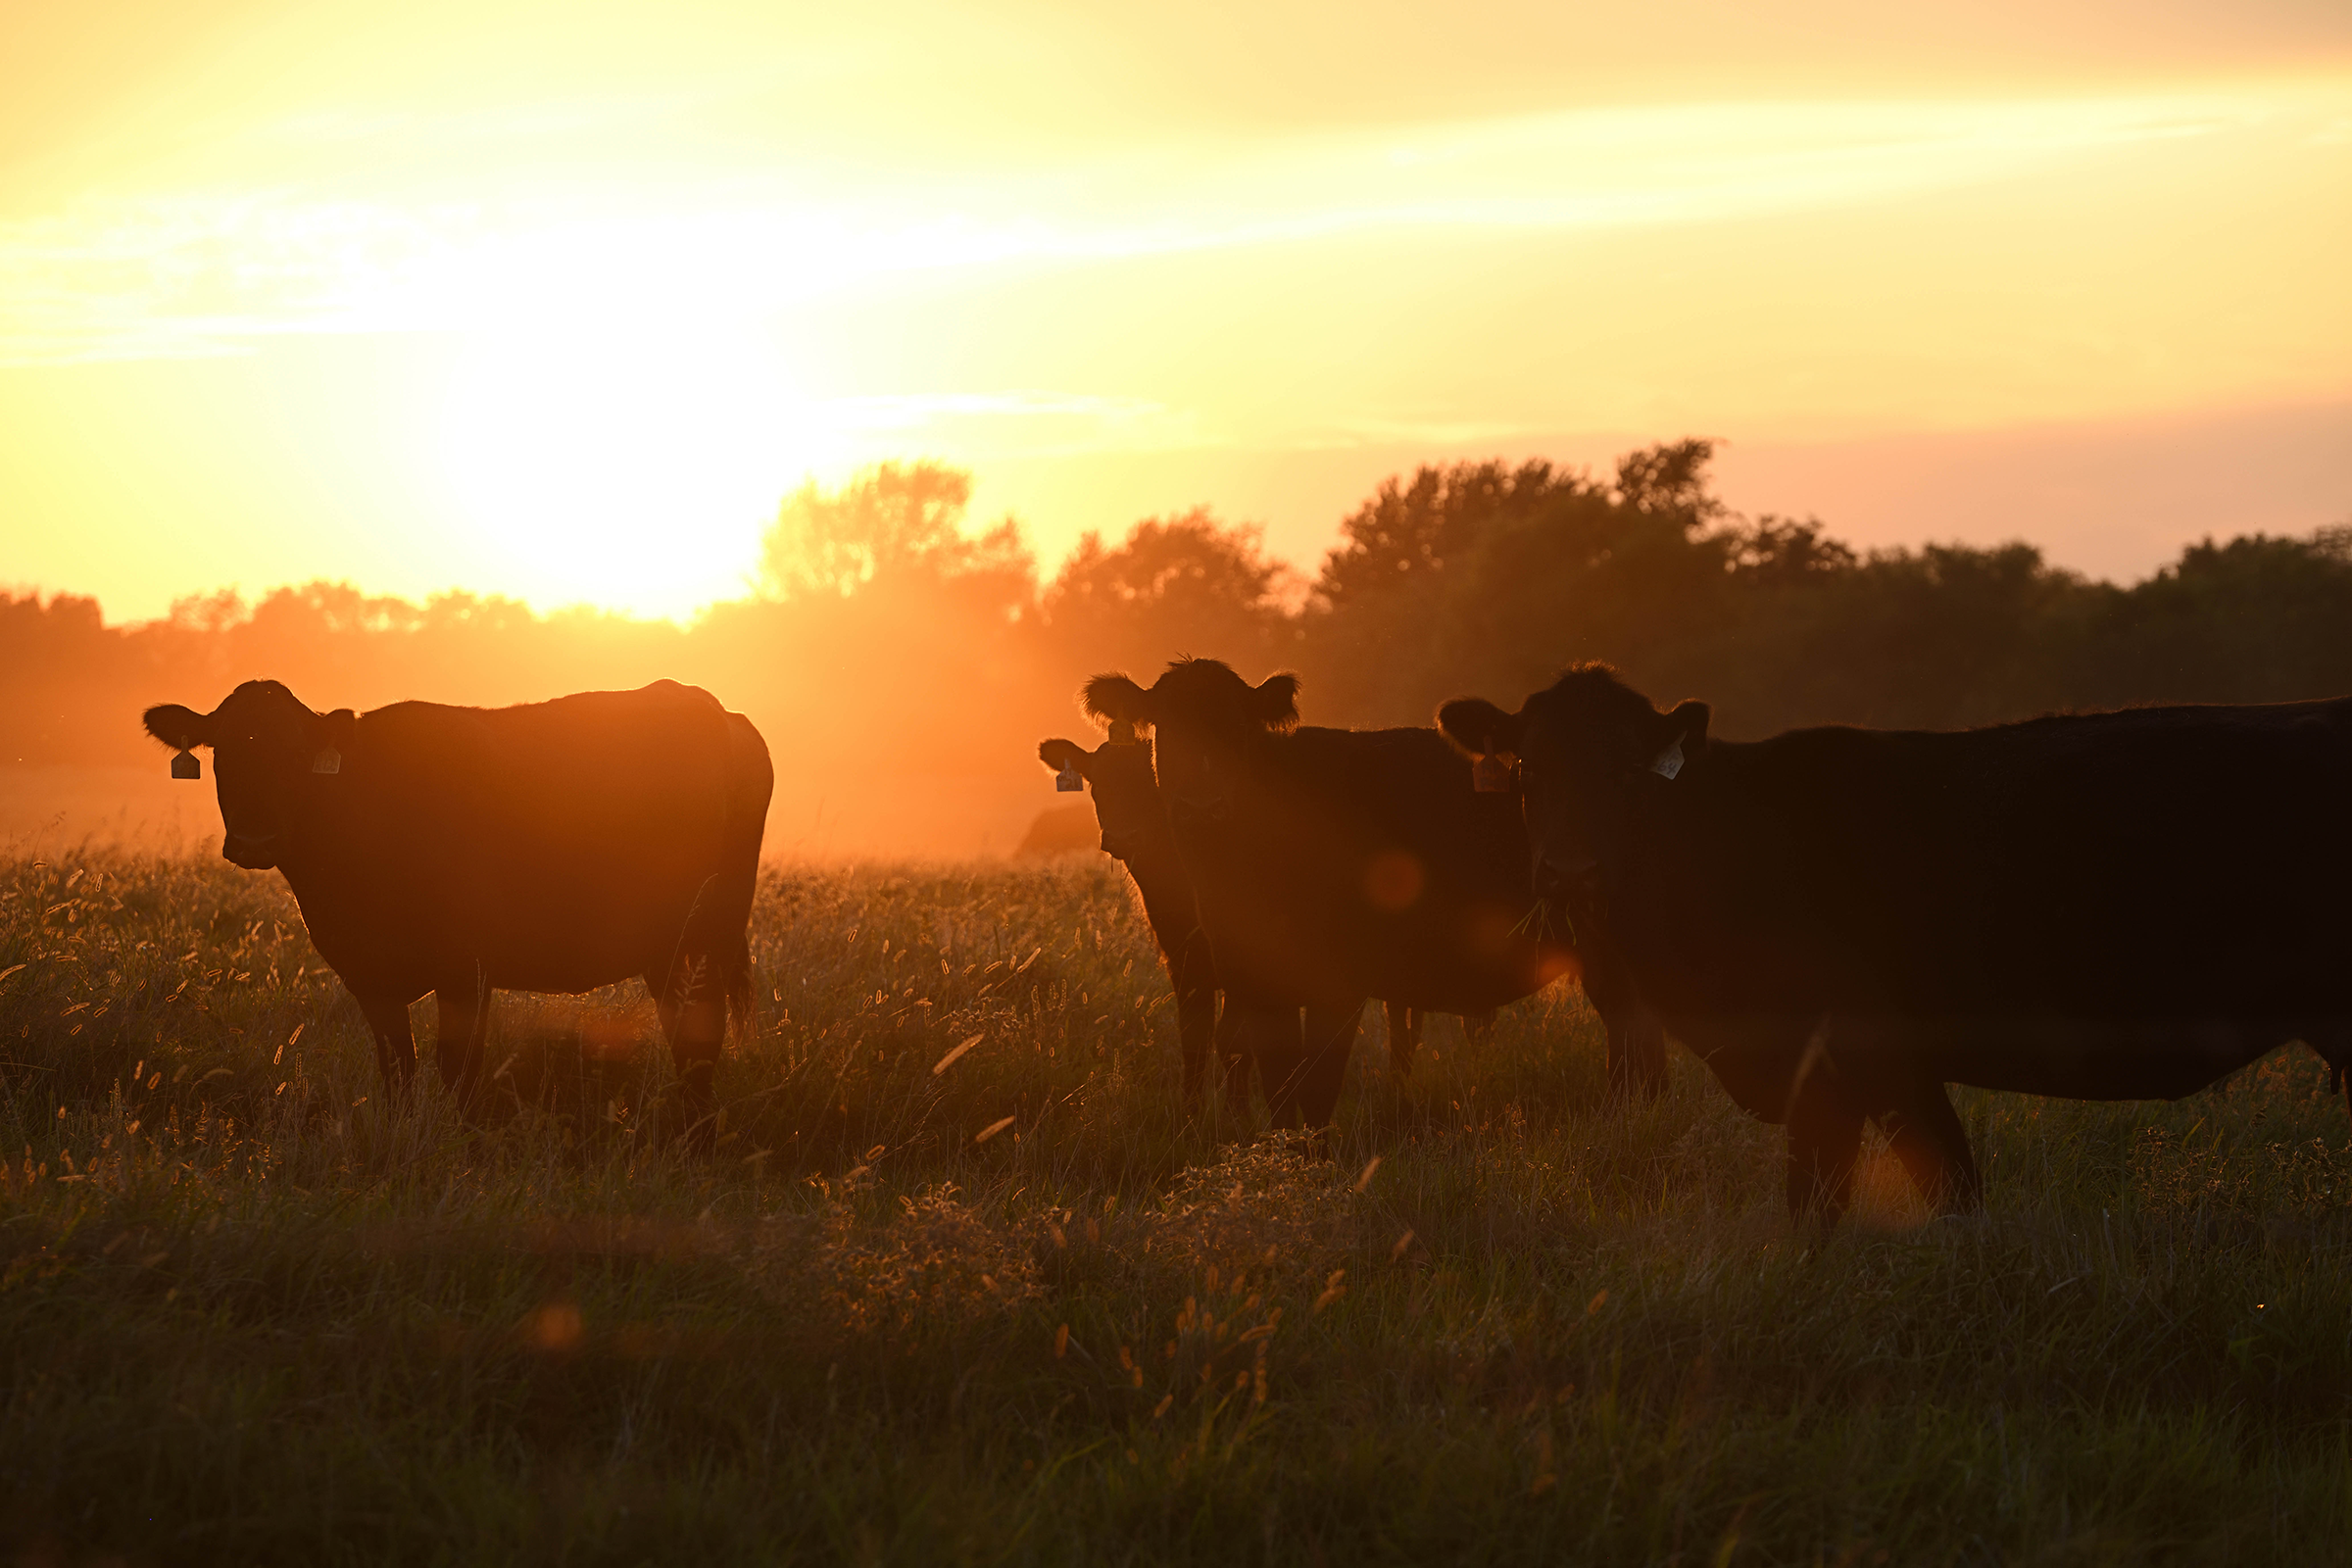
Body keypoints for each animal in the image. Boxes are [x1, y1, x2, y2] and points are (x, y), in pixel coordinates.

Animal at [142, 679, 772, 1133]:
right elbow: (398, 1067)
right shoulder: (368, 975)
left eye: (297, 754)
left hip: (701, 938)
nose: (254, 841)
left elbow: (460, 1071)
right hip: (671, 951)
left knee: (699, 1043)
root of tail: (716, 710)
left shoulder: (467, 970)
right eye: (222, 749)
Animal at [1083, 658, 1667, 1129]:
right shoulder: (1248, 980)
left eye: (1236, 729)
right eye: (1166, 727)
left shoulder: (1339, 984)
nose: (1202, 806)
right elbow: (1275, 1086)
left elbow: (1315, 1089)